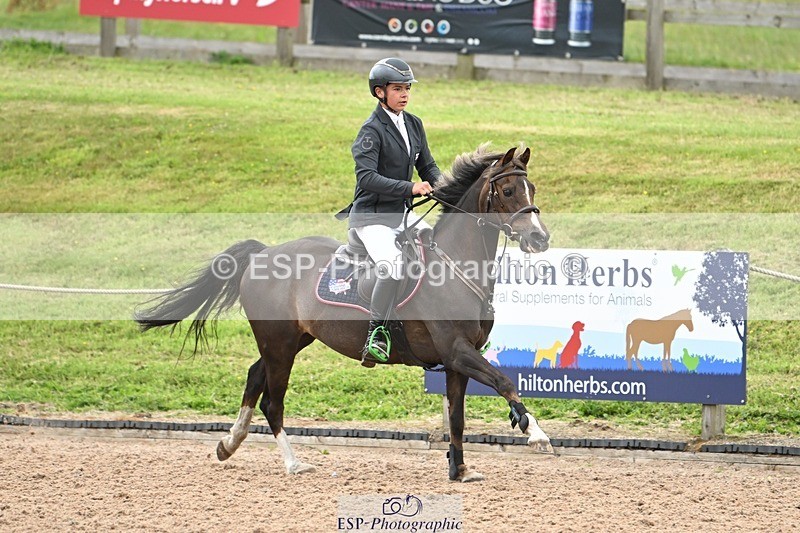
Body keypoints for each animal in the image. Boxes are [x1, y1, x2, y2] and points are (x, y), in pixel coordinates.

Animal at [134, 144, 553, 482]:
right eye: (509, 190)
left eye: (532, 189)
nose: (540, 238)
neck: (454, 268)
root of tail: (263, 253)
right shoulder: (457, 351)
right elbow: (504, 381)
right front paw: (535, 433)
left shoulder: (456, 361)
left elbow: (457, 419)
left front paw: (460, 470)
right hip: (279, 343)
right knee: (272, 400)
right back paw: (292, 464)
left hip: (292, 339)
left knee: (254, 378)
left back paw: (229, 443)